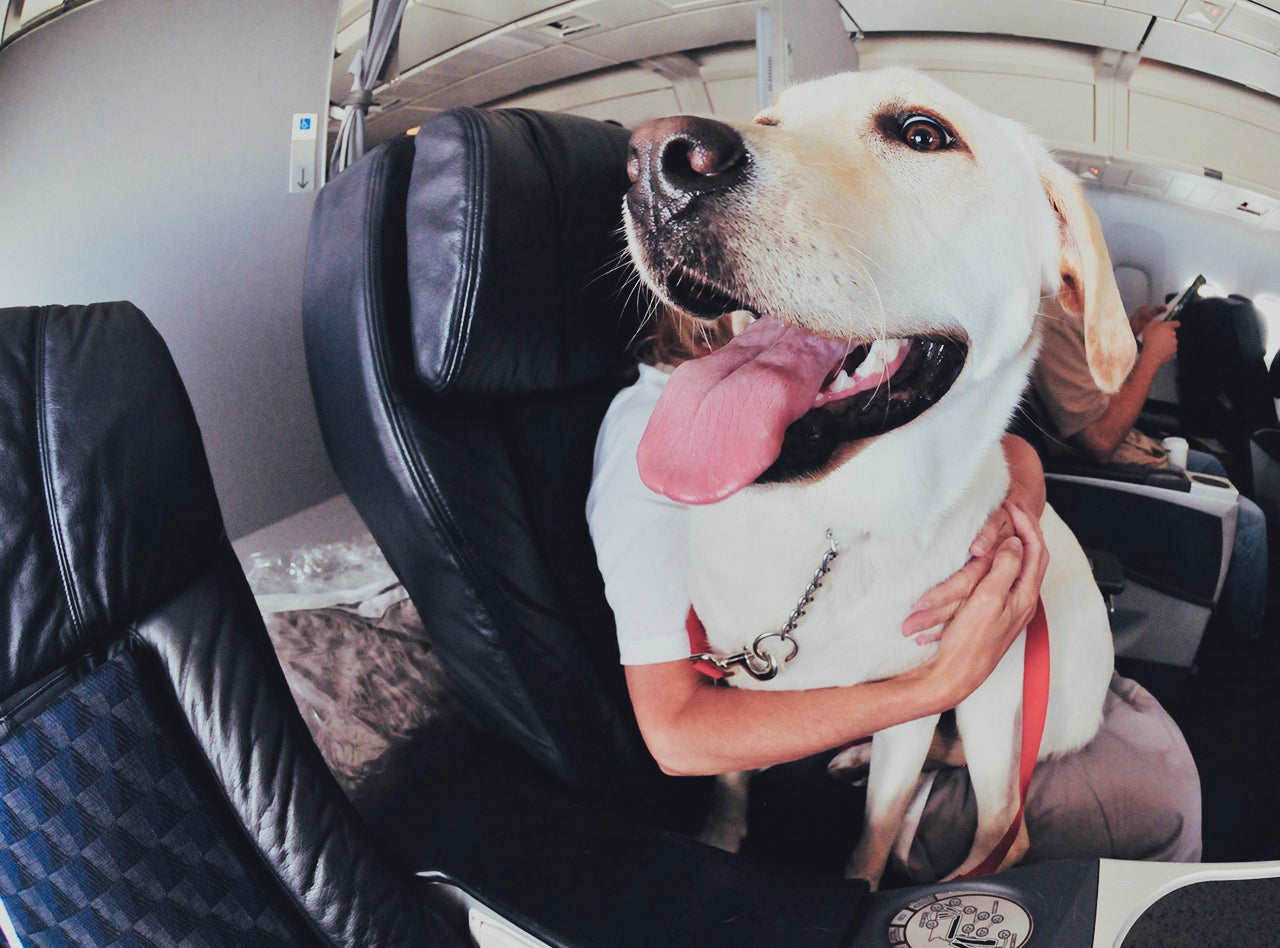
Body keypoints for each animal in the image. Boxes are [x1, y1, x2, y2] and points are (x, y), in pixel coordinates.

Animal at [619, 68, 1131, 885]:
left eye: (923, 134)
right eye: (770, 118)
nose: (657, 162)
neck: (831, 524)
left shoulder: (920, 701)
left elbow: (878, 830)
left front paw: (863, 887)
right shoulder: (735, 672)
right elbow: (730, 783)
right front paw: (720, 838)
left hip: (996, 698)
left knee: (1006, 829)